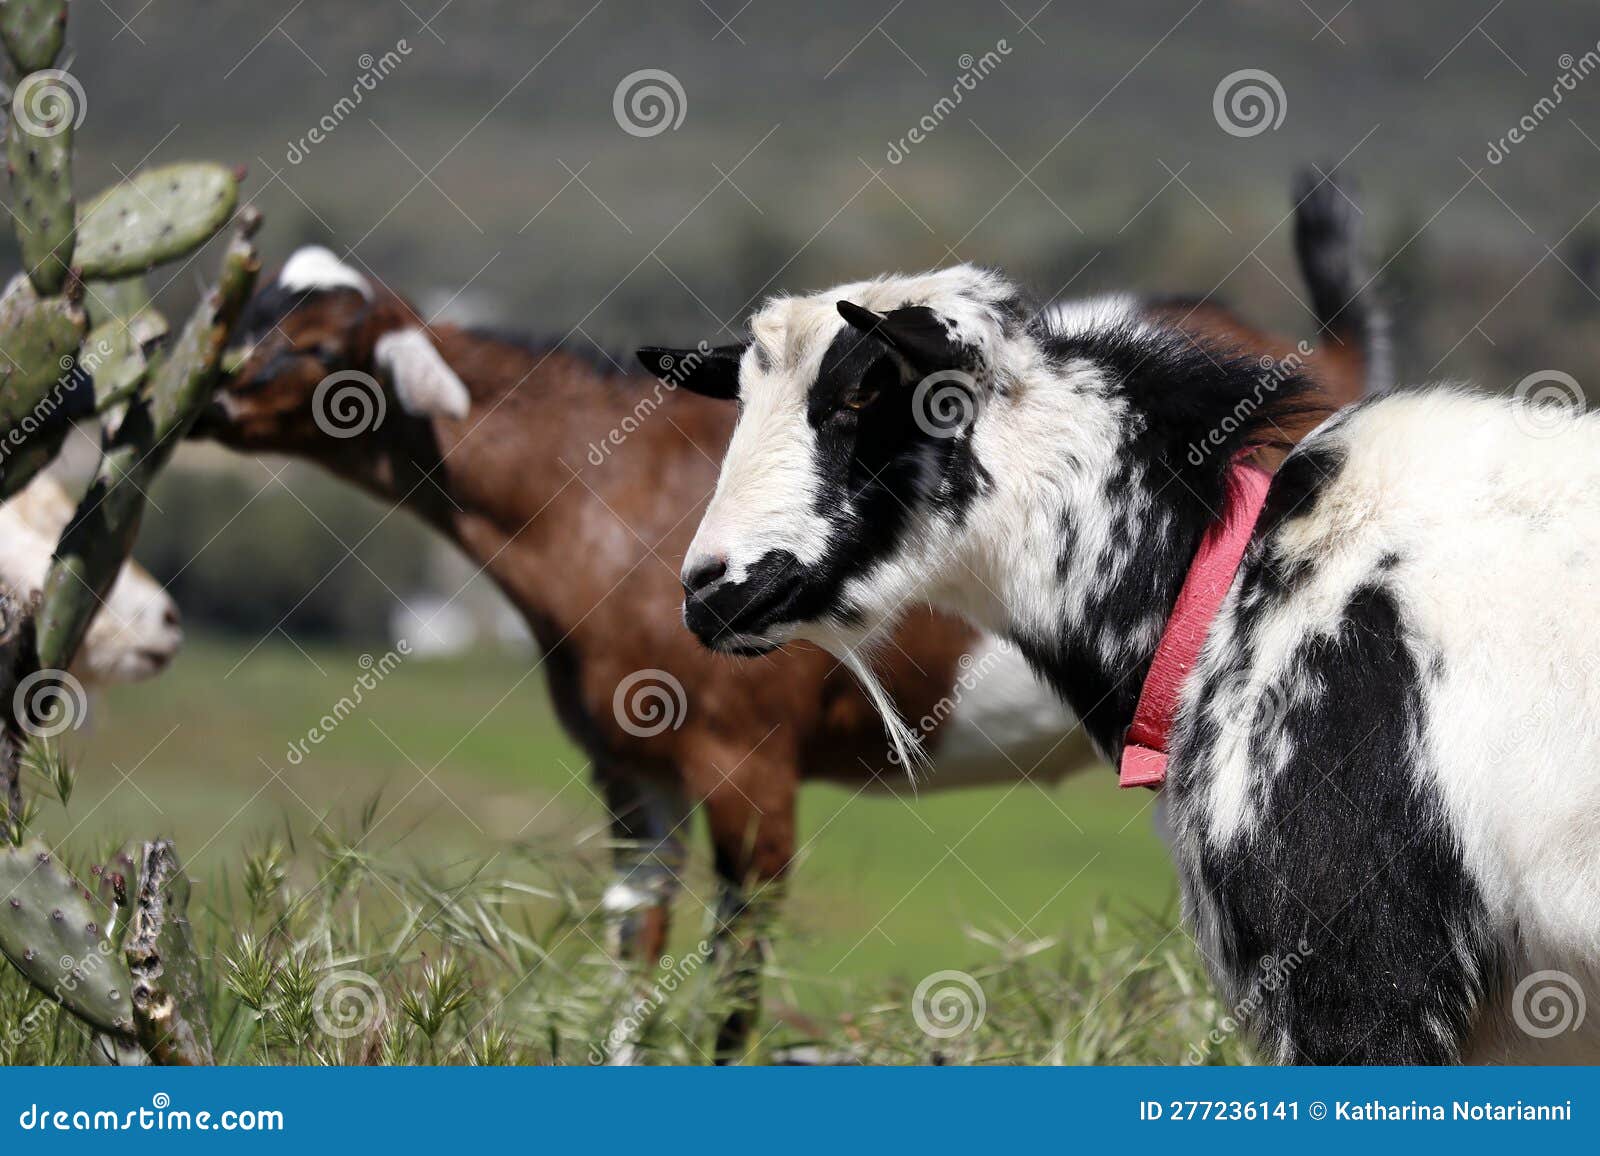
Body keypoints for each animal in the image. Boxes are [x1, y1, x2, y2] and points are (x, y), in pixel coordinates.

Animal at [196, 168, 1376, 1056]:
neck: (595, 497)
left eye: (319, 345)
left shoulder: (746, 764)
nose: (205, 397)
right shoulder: (631, 771)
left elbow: (735, 982)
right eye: (248, 309)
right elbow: (633, 955)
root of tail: (1322, 359)